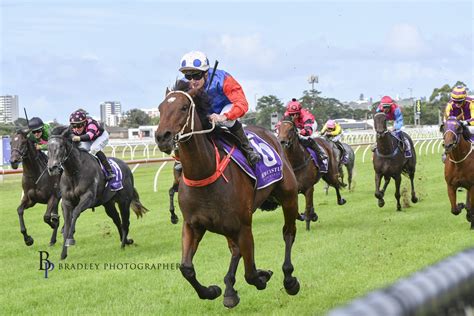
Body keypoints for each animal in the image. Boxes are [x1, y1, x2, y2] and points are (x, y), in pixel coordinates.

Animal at [156, 81, 300, 308]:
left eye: (184, 108)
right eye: (160, 108)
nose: (162, 137)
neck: (204, 174)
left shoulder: (243, 226)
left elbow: (250, 273)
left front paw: (262, 276)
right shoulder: (193, 225)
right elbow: (186, 268)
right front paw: (211, 291)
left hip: (288, 197)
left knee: (288, 233)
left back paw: (289, 279)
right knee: (235, 250)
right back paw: (230, 290)